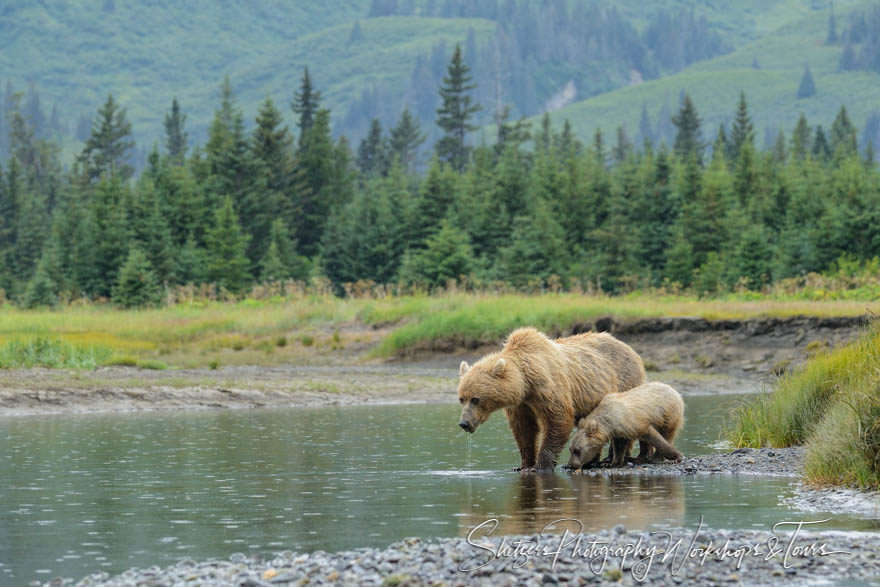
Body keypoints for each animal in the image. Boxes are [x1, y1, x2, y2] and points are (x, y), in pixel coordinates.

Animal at [458, 328, 644, 470]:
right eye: (461, 399)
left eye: (475, 399)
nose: (464, 423)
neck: (525, 382)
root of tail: (630, 348)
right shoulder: (521, 404)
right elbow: (524, 429)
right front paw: (523, 464)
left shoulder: (547, 387)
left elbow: (558, 418)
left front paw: (540, 465)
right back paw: (593, 460)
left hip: (625, 379)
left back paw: (613, 458)